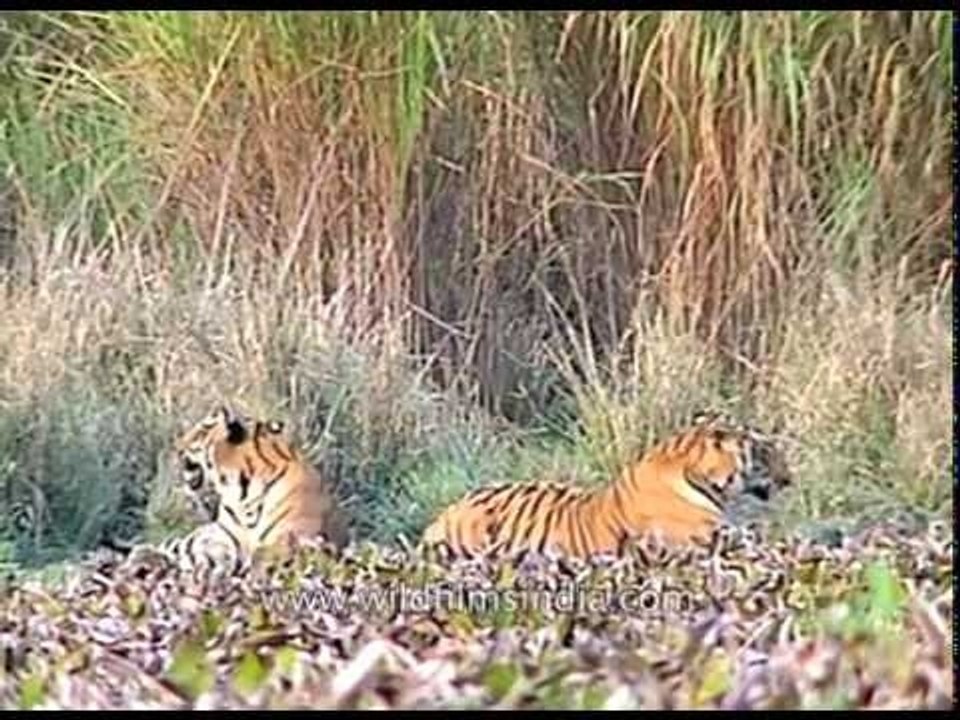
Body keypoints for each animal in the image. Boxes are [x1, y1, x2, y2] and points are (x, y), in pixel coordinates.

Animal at [153, 405, 347, 573]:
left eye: (200, 432)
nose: (176, 446)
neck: (242, 493)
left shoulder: (297, 533)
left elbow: (269, 552)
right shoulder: (225, 532)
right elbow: (207, 543)